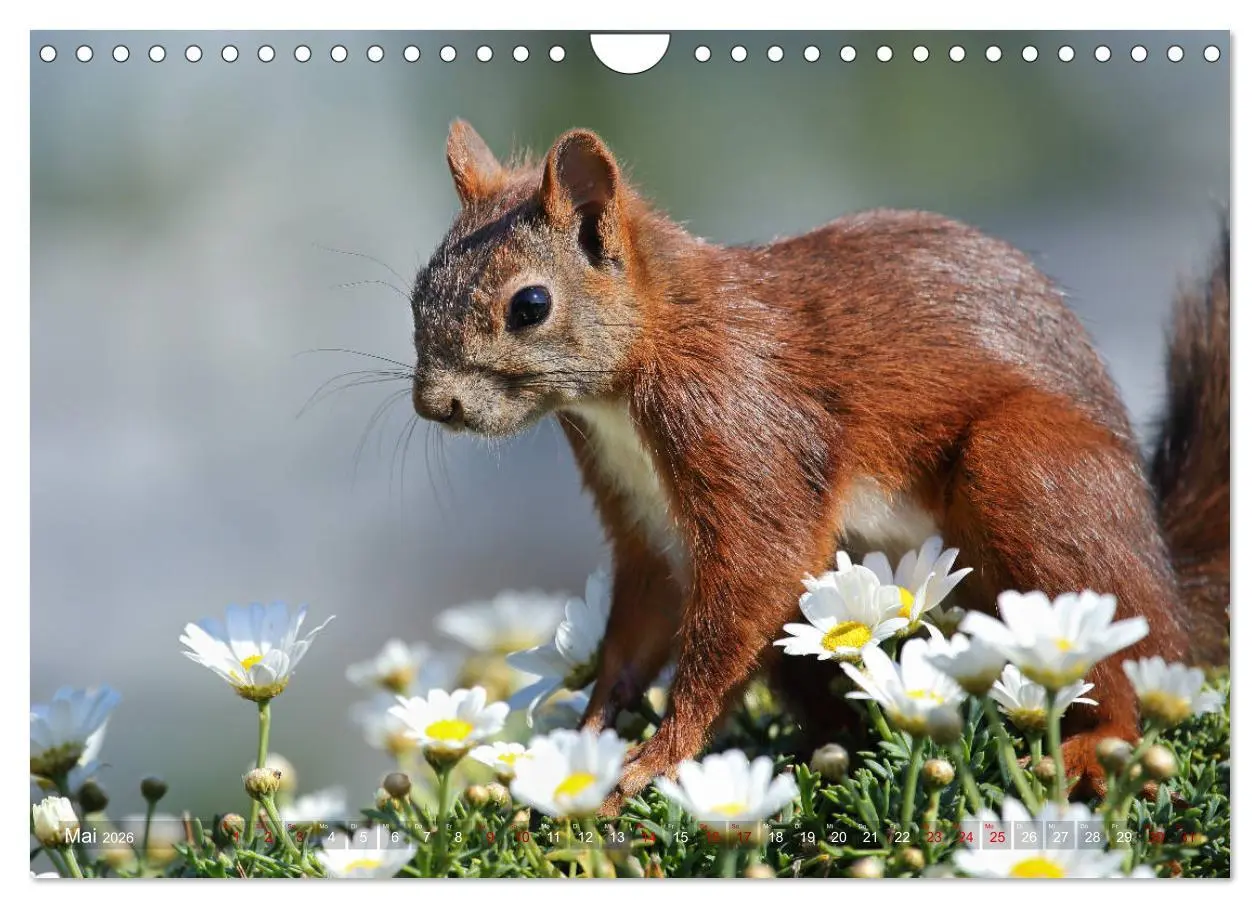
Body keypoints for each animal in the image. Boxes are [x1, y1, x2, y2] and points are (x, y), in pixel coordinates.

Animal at [409, 120, 1229, 813]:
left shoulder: (741, 419)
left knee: (1125, 657)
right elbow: (634, 630)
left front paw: (660, 756)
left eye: (530, 305)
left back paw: (1099, 740)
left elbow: (757, 574)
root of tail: (1168, 586)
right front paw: (589, 741)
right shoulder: (641, 518)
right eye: (419, 292)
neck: (644, 357)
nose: (434, 404)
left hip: (1029, 472)